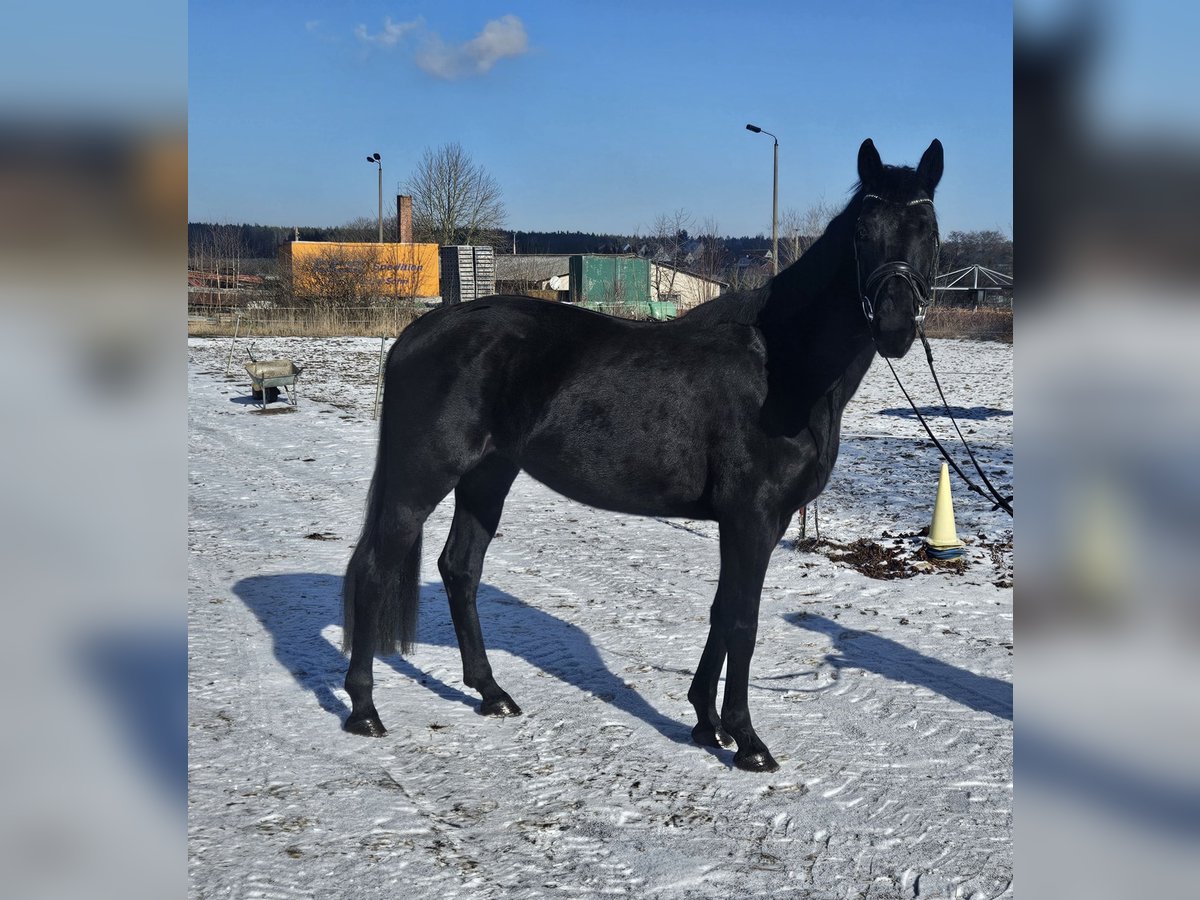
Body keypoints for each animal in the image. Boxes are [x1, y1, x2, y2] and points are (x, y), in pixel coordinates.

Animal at [343, 137, 940, 772]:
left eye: (927, 228)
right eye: (864, 230)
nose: (896, 326)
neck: (780, 367)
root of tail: (417, 333)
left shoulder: (754, 523)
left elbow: (721, 612)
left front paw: (706, 723)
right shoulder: (752, 518)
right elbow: (742, 619)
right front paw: (746, 741)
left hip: (488, 476)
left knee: (460, 568)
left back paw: (492, 693)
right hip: (421, 476)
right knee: (374, 568)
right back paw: (364, 710)